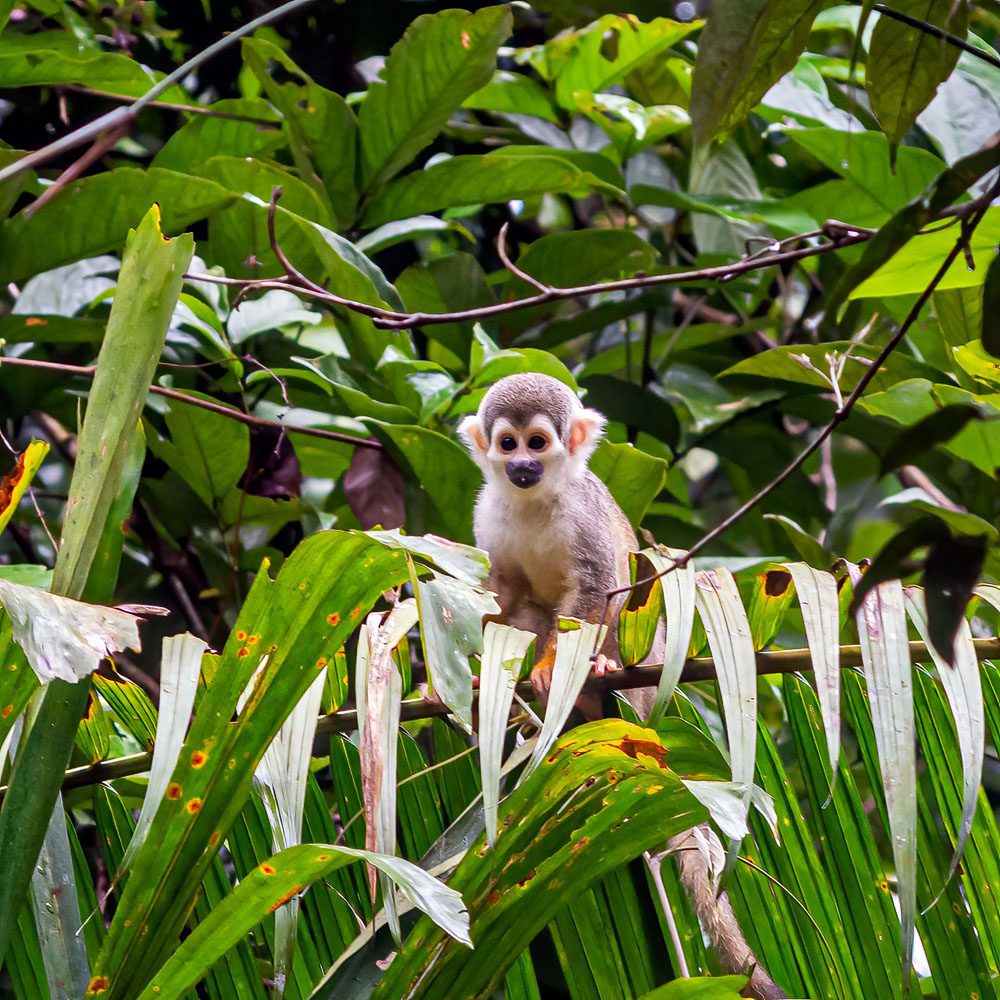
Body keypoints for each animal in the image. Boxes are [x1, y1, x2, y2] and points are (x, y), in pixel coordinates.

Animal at [459, 373, 786, 1000]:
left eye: (538, 443)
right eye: (507, 444)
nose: (521, 467)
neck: (535, 500)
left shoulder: (583, 514)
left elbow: (597, 589)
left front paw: (554, 668)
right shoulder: (487, 511)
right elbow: (503, 596)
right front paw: (484, 669)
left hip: (649, 661)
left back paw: (598, 675)